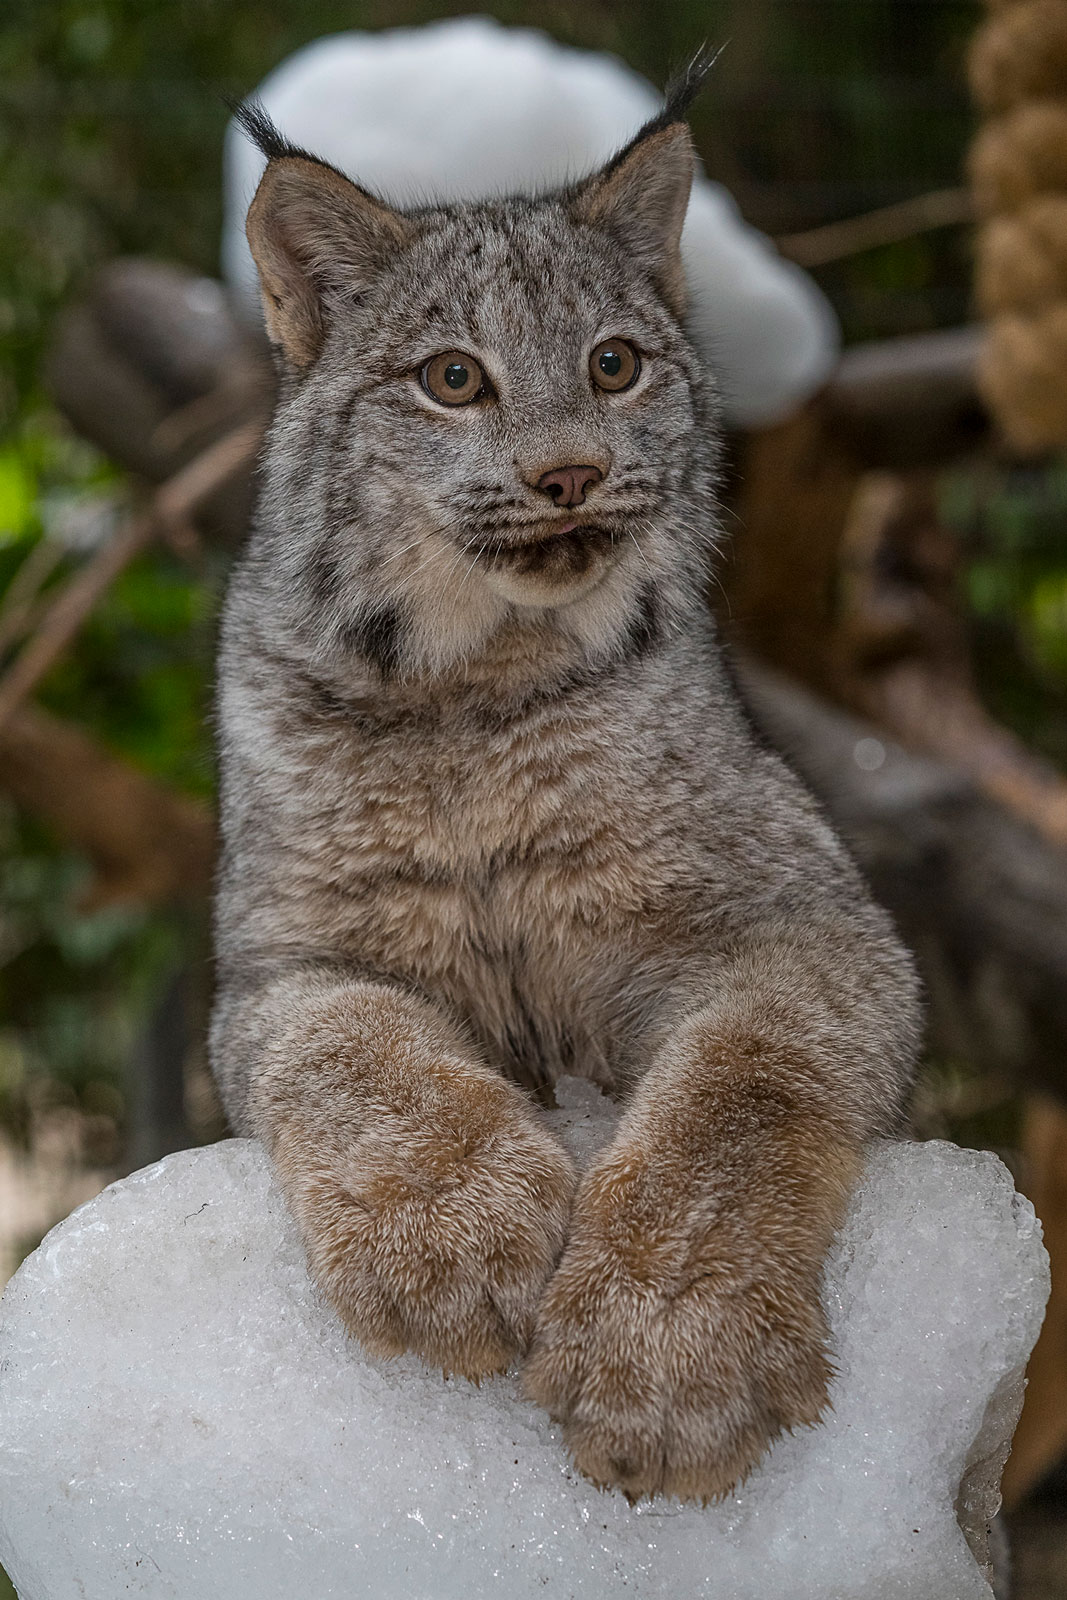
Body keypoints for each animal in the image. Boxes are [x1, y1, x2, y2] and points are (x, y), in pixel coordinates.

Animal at [212, 62, 921, 1504]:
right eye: (450, 380)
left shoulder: (798, 912)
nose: (569, 475)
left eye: (613, 365)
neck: (473, 690)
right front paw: (442, 1228)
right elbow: (346, 1046)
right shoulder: (279, 958)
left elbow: (743, 1082)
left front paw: (669, 1342)